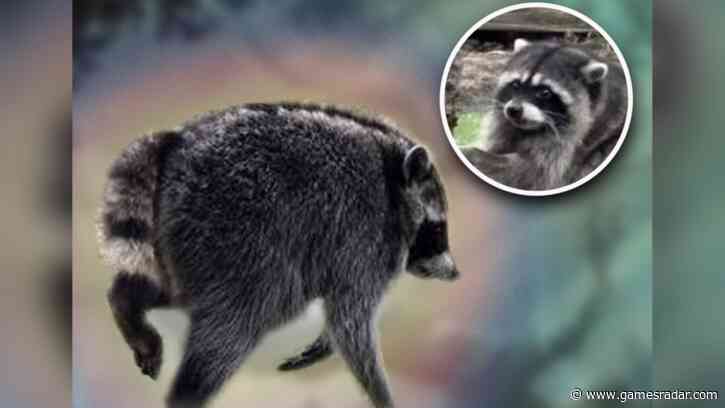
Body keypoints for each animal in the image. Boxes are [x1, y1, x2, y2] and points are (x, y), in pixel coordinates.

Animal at [98, 102, 459, 408]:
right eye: (437, 230)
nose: (455, 273)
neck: (392, 178)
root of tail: (175, 141)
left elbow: (343, 315)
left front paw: (323, 344)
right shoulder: (364, 232)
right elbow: (350, 320)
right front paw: (380, 393)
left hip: (187, 238)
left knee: (175, 288)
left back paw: (125, 301)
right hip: (235, 229)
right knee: (239, 318)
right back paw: (188, 391)